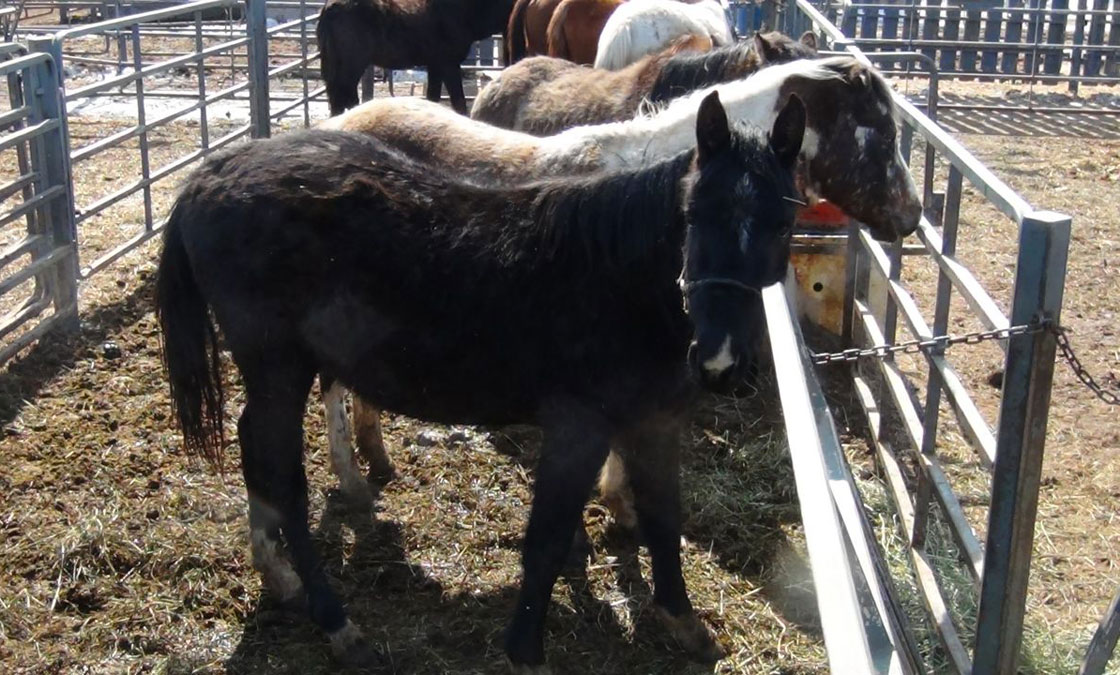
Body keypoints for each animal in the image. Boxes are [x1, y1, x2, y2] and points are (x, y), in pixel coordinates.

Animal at [156, 91, 807, 669]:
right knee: (286, 478)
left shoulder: (656, 423)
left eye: (783, 224)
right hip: (279, 369)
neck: (615, 279)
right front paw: (526, 651)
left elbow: (664, 520)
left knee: (257, 452)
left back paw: (279, 575)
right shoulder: (578, 428)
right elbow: (546, 539)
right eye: (693, 215)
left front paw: (683, 621)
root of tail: (213, 172)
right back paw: (336, 622)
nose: (720, 361)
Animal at [316, 0, 514, 115]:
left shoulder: (435, 65)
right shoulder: (448, 63)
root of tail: (329, 8)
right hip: (352, 64)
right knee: (341, 97)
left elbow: (433, 96)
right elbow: (459, 101)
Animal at [317, 56, 922, 523]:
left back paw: (378, 457)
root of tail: (346, 118)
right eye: (887, 134)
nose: (913, 216)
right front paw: (620, 508)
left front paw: (617, 502)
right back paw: (353, 485)